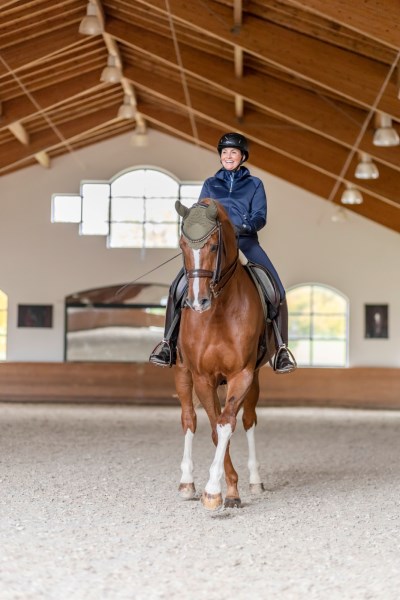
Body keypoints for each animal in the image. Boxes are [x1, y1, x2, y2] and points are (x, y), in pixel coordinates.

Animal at [175, 198, 276, 510]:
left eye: (213, 246)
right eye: (182, 245)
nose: (197, 302)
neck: (219, 311)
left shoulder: (242, 374)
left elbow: (226, 424)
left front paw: (218, 490)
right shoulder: (202, 377)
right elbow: (213, 427)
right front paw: (224, 487)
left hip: (254, 379)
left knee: (248, 419)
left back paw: (255, 480)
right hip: (182, 373)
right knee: (189, 419)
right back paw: (186, 483)